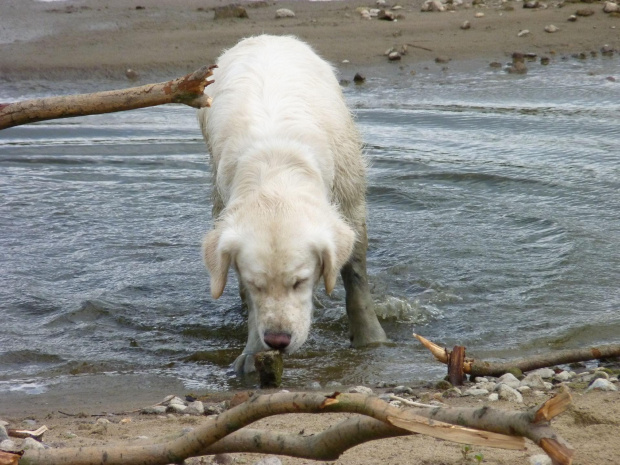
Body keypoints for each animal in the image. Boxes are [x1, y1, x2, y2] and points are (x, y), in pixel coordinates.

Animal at [197, 34, 388, 372]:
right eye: (256, 284)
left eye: (300, 282)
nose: (278, 340)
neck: (277, 171)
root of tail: (264, 37)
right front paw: (252, 353)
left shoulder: (350, 202)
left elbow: (355, 275)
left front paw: (370, 337)